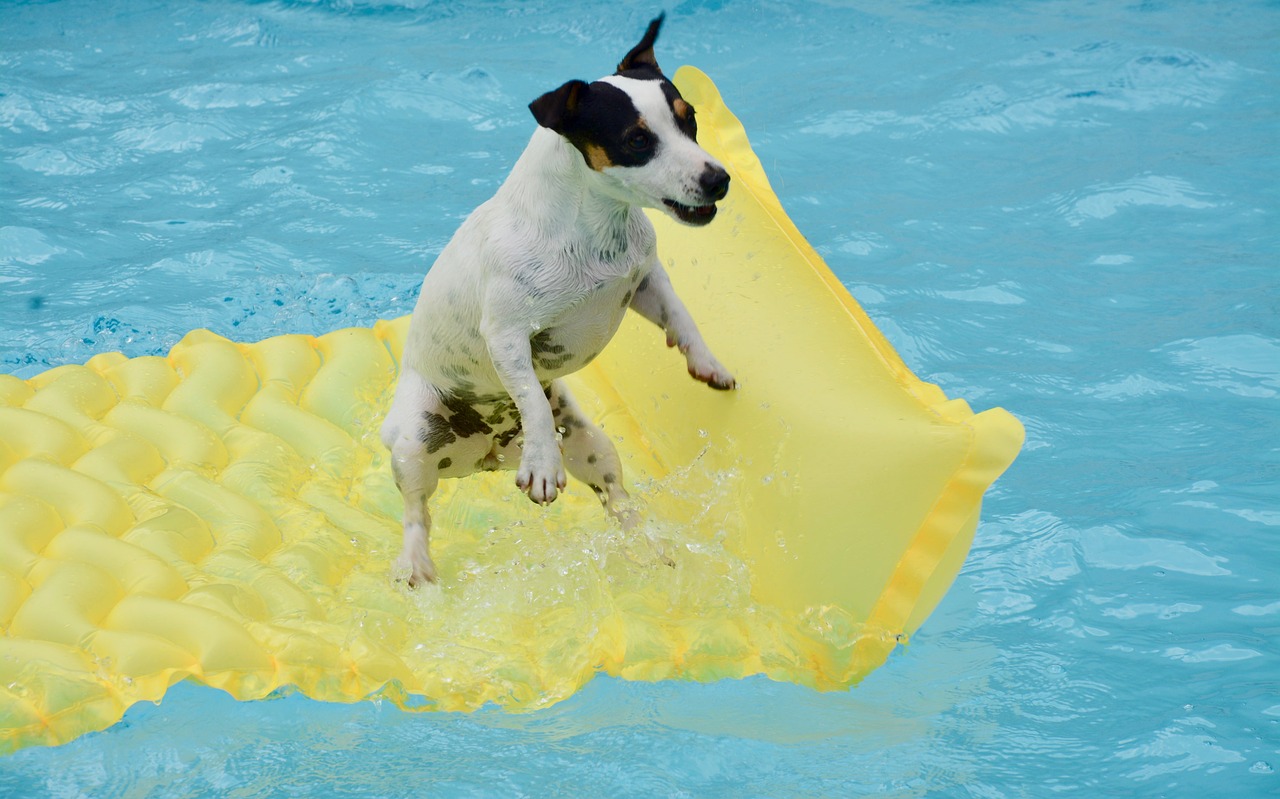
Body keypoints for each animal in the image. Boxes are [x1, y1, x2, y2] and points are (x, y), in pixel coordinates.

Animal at [378, 14, 737, 586]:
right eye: (637, 139)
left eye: (692, 120)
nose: (718, 179)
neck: (593, 226)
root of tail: (488, 456)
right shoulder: (506, 335)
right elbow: (529, 398)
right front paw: (543, 466)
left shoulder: (644, 282)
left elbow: (681, 317)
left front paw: (706, 362)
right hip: (415, 439)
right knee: (417, 510)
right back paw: (417, 561)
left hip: (593, 446)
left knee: (616, 498)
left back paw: (650, 544)